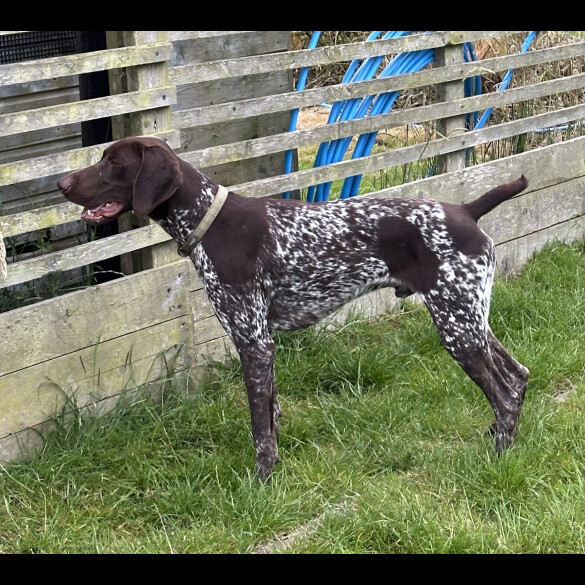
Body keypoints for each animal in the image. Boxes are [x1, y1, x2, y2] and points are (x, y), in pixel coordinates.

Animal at [58, 136, 528, 480]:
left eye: (112, 163)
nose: (62, 183)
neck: (209, 219)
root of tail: (465, 210)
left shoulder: (254, 342)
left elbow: (259, 428)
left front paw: (262, 480)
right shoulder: (263, 344)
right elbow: (272, 415)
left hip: (456, 326)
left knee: (504, 394)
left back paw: (498, 457)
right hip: (469, 319)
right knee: (518, 376)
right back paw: (500, 435)